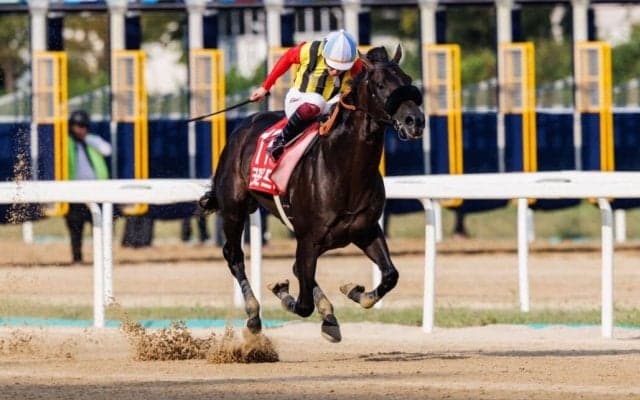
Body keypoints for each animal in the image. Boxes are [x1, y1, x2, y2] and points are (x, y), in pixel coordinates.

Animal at [200, 46, 425, 342]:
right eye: (379, 84)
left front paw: (353, 292)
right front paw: (283, 292)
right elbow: (303, 302)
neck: (342, 168)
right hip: (234, 209)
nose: (415, 121)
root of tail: (242, 127)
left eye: (408, 79)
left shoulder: (364, 230)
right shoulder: (308, 239)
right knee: (234, 255)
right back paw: (254, 315)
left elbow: (389, 275)